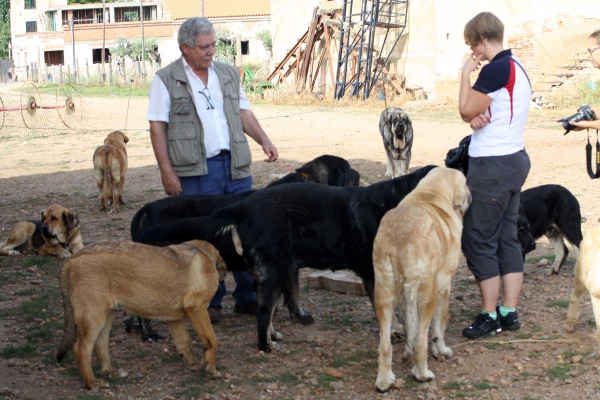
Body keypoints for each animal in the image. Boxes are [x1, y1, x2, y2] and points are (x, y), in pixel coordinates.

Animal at [55, 239, 227, 390]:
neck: (203, 253)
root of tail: (71, 259)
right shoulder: (197, 308)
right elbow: (212, 339)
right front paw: (211, 368)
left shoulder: (176, 320)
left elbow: (185, 343)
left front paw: (194, 365)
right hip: (93, 317)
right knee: (81, 349)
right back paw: (92, 383)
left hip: (106, 315)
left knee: (100, 344)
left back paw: (110, 372)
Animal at [141, 164, 436, 352]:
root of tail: (243, 206)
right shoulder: (373, 275)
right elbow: (385, 311)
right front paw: (394, 333)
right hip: (274, 270)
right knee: (263, 310)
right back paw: (266, 346)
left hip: (274, 271)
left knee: (268, 309)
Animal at [372, 167, 472, 392]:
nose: (471, 199)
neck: (431, 194)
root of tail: (404, 242)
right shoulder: (443, 286)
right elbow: (440, 324)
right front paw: (441, 350)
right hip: (426, 296)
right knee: (419, 341)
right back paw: (422, 374)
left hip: (383, 293)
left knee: (385, 344)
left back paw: (384, 381)